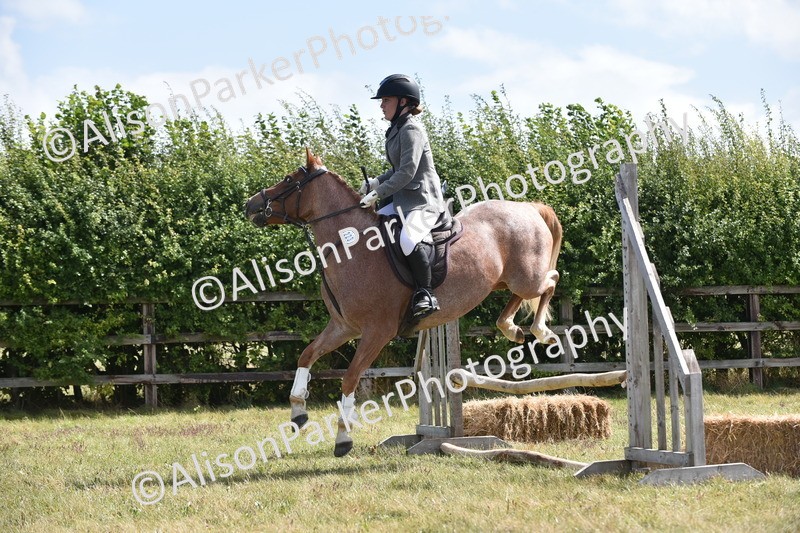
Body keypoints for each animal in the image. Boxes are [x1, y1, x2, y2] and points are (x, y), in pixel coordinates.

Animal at [245, 148, 562, 457]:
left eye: (288, 179)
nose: (251, 204)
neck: (350, 247)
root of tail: (528, 207)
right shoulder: (343, 327)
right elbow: (306, 355)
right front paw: (298, 411)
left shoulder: (377, 332)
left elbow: (349, 378)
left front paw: (343, 438)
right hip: (504, 281)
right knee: (520, 298)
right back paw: (511, 328)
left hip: (527, 277)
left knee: (551, 280)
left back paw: (542, 332)